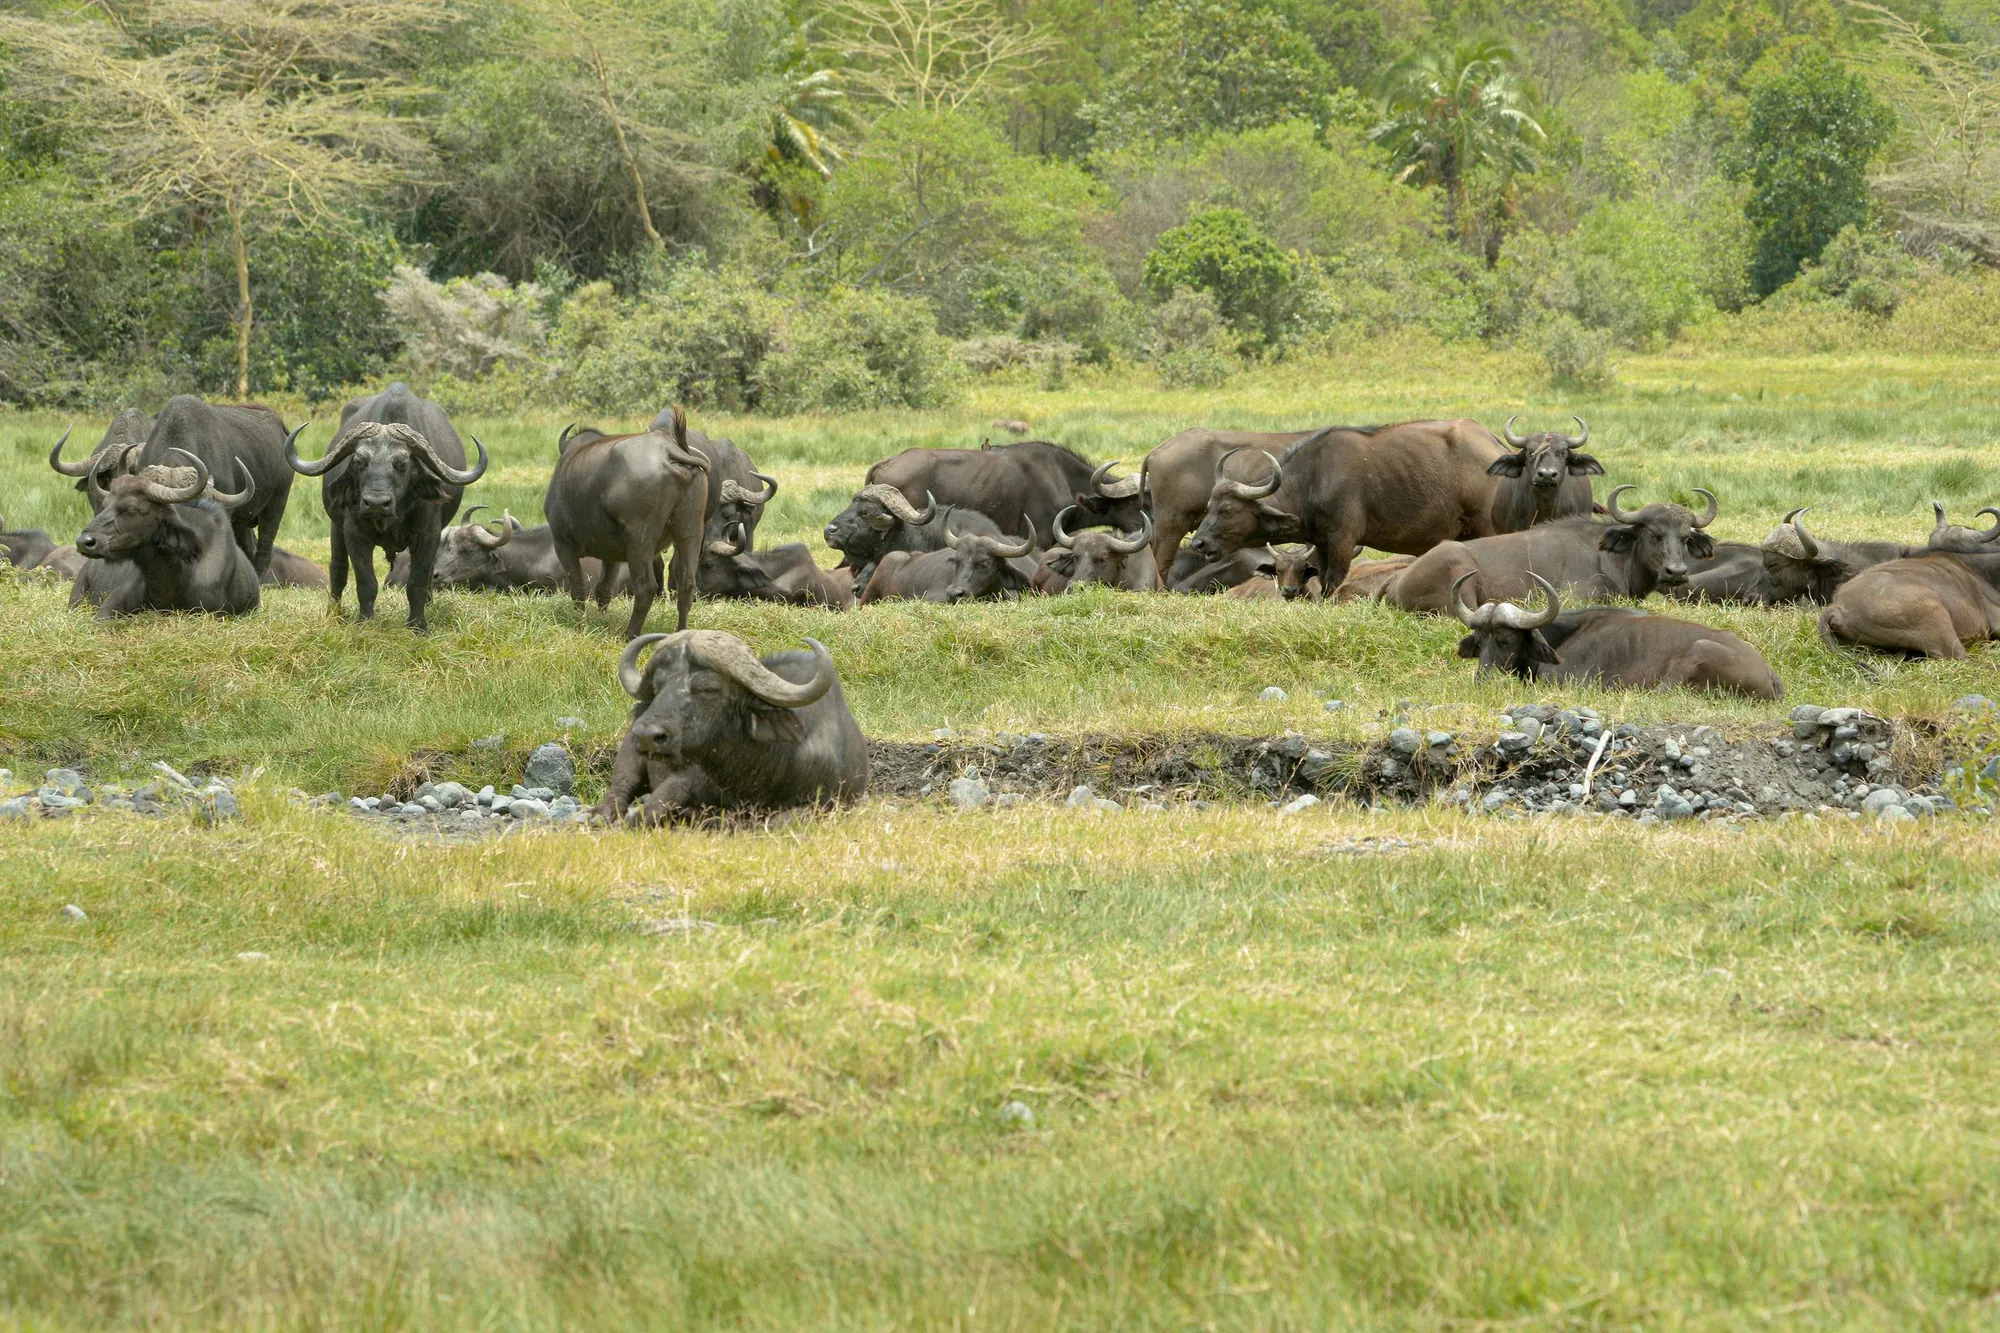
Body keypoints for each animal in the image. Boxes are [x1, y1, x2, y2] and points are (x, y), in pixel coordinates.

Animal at [287, 384, 487, 631]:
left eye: (402, 463)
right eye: (359, 461)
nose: (376, 503)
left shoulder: (428, 534)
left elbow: (418, 582)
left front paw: (418, 625)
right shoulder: (354, 533)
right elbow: (366, 582)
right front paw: (364, 621)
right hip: (336, 528)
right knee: (338, 568)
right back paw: (334, 612)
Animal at [546, 405, 710, 637]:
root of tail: (669, 449)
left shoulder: (563, 543)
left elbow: (578, 588)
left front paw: (579, 621)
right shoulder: (612, 554)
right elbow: (604, 588)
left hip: (639, 539)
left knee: (646, 586)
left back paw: (630, 633)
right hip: (691, 531)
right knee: (687, 584)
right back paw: (680, 632)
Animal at [600, 630, 868, 823]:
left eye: (709, 689)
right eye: (657, 686)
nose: (646, 735)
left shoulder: (820, 804)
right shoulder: (679, 782)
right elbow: (643, 815)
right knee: (619, 791)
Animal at [1185, 420, 1509, 592]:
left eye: (1228, 510)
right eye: (1209, 506)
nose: (1198, 543)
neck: (1314, 479)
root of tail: (1492, 442)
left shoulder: (1342, 541)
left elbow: (1333, 583)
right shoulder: (1321, 544)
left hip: (1487, 527)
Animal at [1452, 572, 1783, 699]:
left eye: (1505, 640)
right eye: (1479, 641)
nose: (1482, 681)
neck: (1564, 636)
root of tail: (1769, 673)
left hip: (1697, 651)